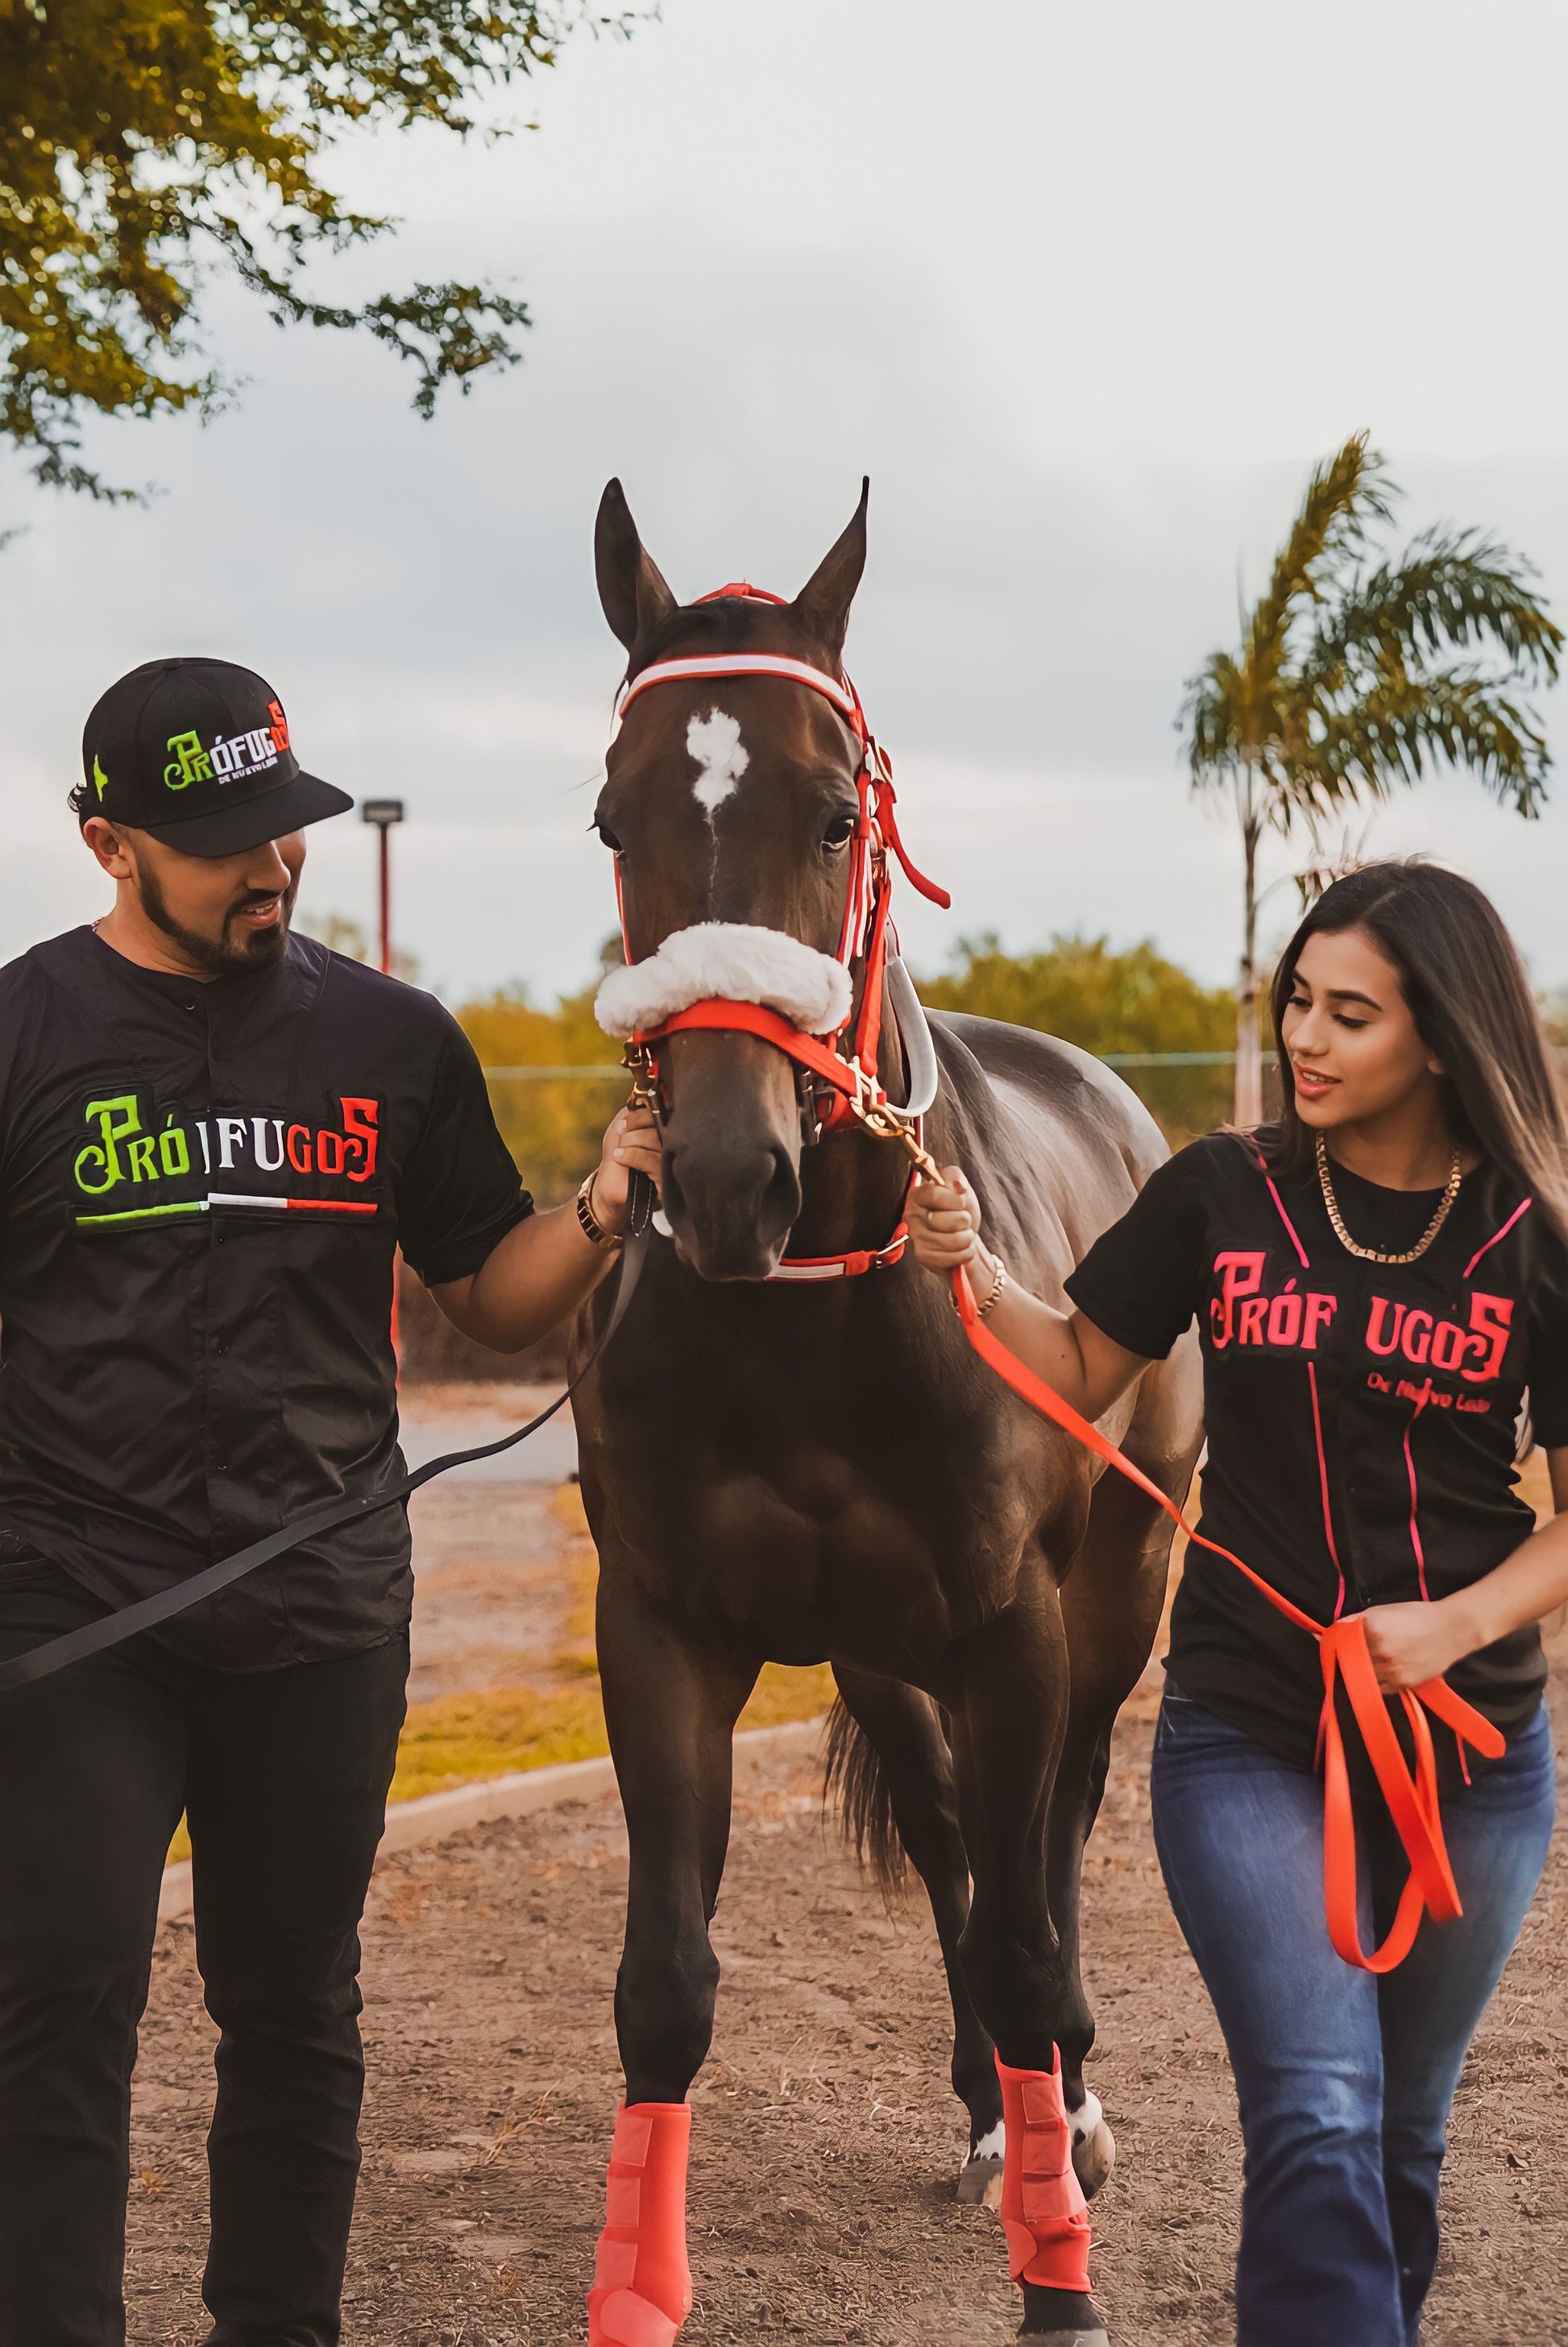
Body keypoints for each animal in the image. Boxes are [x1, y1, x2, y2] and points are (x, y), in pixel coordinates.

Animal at [570, 480, 1211, 2347]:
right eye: (614, 813)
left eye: (835, 807)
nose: (726, 1177)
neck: (808, 1316)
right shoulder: (663, 1629)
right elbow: (667, 1983)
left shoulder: (1013, 1626)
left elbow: (1027, 1930)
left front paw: (1058, 2276)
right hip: (876, 1646)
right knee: (947, 1844)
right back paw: (989, 2107)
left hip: (1118, 1590)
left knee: (1052, 1842)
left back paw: (1063, 2106)